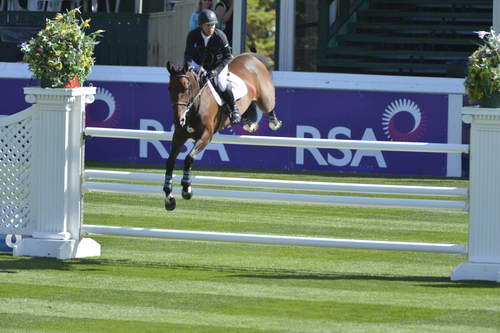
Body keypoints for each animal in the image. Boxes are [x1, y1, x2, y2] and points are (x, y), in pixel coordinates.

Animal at [164, 53, 282, 211]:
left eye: (185, 87)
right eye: (169, 88)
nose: (179, 119)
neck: (195, 105)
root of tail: (250, 56)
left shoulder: (206, 136)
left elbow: (189, 158)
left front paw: (186, 189)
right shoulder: (179, 136)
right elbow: (170, 161)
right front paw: (169, 197)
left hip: (264, 97)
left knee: (269, 105)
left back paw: (273, 122)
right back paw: (247, 122)